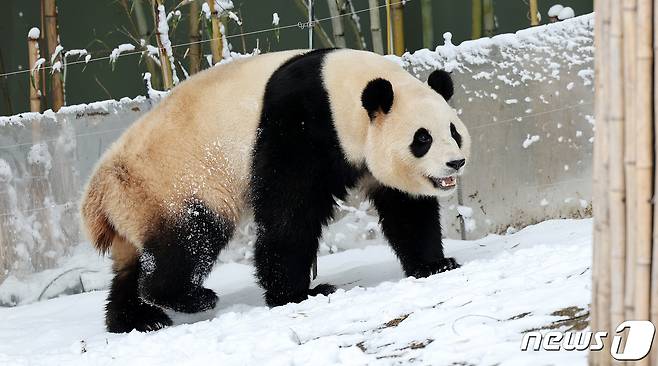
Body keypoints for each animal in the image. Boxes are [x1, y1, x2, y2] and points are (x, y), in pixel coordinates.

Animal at [80, 48, 466, 332]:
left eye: (453, 131)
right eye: (422, 139)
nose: (455, 163)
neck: (343, 92)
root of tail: (99, 194)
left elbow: (406, 208)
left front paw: (436, 264)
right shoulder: (299, 123)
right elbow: (289, 211)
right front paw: (298, 293)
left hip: (135, 207)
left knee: (132, 265)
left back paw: (136, 319)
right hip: (171, 185)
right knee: (191, 237)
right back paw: (191, 297)